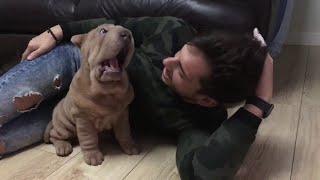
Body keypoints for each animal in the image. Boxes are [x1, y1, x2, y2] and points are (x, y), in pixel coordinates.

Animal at [43, 23, 139, 166]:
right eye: (103, 31)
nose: (127, 34)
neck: (108, 89)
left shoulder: (122, 115)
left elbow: (124, 132)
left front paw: (130, 146)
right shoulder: (84, 118)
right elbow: (89, 138)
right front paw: (93, 156)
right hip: (65, 126)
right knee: (54, 135)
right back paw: (62, 147)